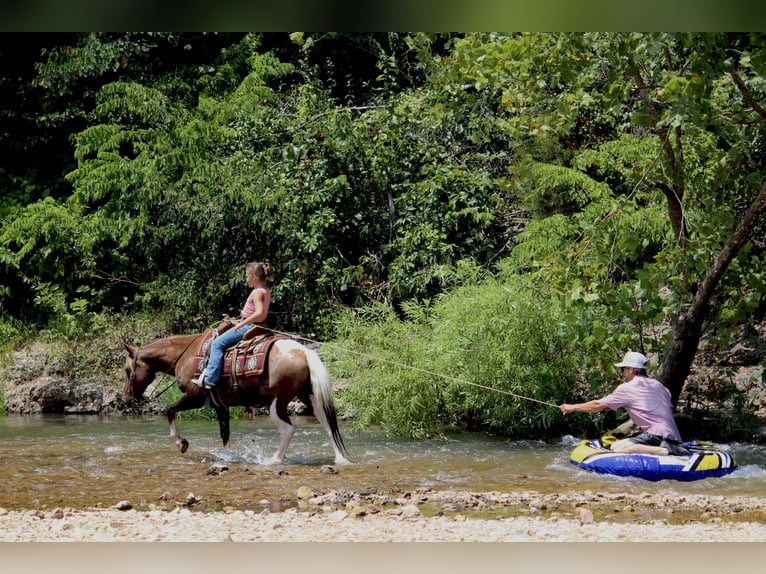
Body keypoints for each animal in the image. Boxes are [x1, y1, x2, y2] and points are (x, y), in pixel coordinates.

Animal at [122, 325, 351, 465]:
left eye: (127, 371)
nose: (126, 400)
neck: (184, 355)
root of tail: (303, 351)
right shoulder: (220, 405)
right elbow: (225, 433)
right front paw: (227, 457)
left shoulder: (194, 397)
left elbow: (169, 410)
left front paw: (181, 443)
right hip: (310, 397)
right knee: (327, 424)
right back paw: (340, 459)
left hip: (276, 403)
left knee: (288, 429)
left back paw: (274, 460)